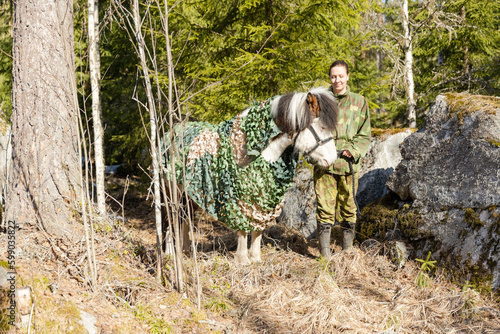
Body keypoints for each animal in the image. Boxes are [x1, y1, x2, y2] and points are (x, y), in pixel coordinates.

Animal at [160, 86, 340, 264]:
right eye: (322, 127)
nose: (332, 159)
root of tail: (168, 135)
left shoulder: (264, 195)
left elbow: (258, 226)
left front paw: (255, 257)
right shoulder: (240, 196)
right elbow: (242, 227)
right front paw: (242, 259)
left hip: (191, 194)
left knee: (185, 218)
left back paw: (185, 249)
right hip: (172, 192)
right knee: (171, 219)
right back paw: (170, 255)